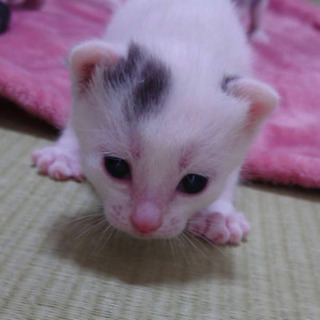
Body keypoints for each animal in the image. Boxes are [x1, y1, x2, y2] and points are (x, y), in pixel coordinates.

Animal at [31, 0, 278, 244]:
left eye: (194, 182)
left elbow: (231, 174)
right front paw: (63, 154)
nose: (145, 223)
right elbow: (75, 119)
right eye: (116, 166)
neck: (183, 39)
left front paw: (218, 214)